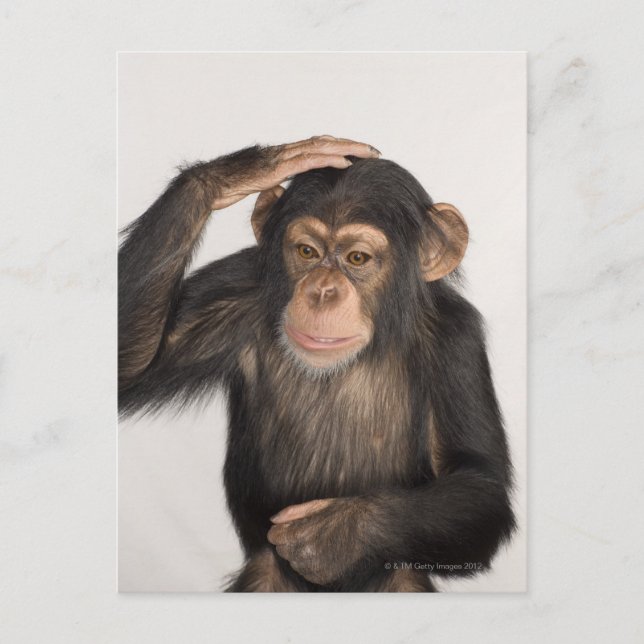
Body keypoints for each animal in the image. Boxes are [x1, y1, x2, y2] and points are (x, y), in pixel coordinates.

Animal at [119, 135, 516, 592]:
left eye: (357, 259)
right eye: (307, 251)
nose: (323, 290)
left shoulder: (456, 341)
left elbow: (480, 482)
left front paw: (334, 535)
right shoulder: (237, 288)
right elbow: (134, 366)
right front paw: (245, 171)